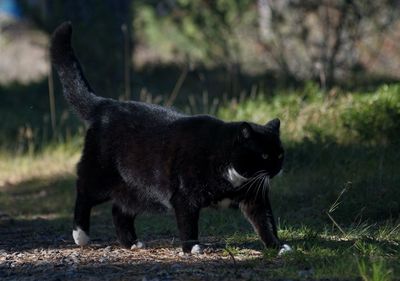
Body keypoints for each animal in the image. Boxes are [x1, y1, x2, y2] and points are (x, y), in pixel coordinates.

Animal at [50, 23, 284, 253]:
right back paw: (81, 236)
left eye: (280, 154)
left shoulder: (255, 198)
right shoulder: (184, 197)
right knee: (83, 193)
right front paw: (192, 248)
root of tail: (106, 105)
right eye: (264, 155)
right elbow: (188, 223)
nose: (277, 168)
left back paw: (131, 242)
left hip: (138, 190)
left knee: (119, 210)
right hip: (100, 174)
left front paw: (277, 246)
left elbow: (265, 222)